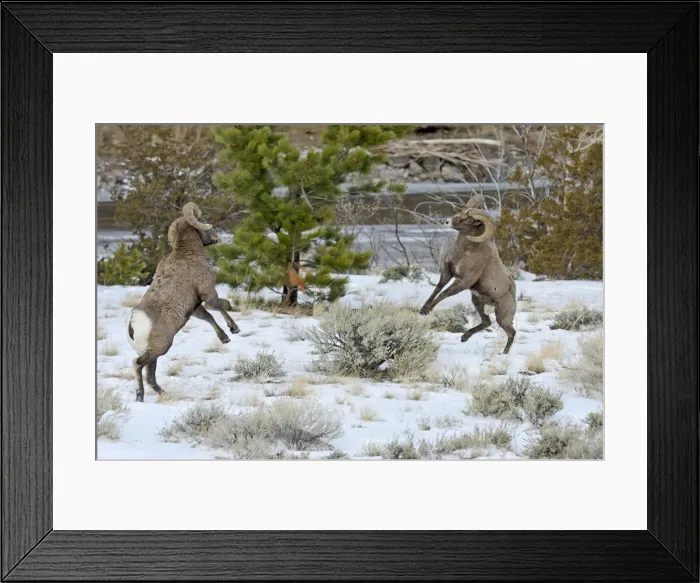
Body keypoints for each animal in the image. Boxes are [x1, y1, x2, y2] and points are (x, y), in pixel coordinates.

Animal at [126, 202, 240, 402]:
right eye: (203, 220)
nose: (216, 237)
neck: (186, 254)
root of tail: (133, 324)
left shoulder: (194, 308)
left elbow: (209, 317)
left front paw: (224, 338)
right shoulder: (208, 293)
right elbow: (219, 307)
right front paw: (234, 329)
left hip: (154, 353)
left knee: (150, 375)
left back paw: (164, 393)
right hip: (160, 347)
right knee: (138, 365)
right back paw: (140, 396)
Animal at [419, 194, 517, 354]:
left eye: (469, 220)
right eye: (461, 211)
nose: (447, 222)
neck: (465, 252)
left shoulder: (463, 282)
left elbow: (444, 293)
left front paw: (428, 310)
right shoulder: (447, 273)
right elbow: (438, 289)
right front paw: (423, 310)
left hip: (502, 316)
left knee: (511, 332)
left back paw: (504, 354)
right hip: (477, 302)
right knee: (486, 322)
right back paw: (464, 337)